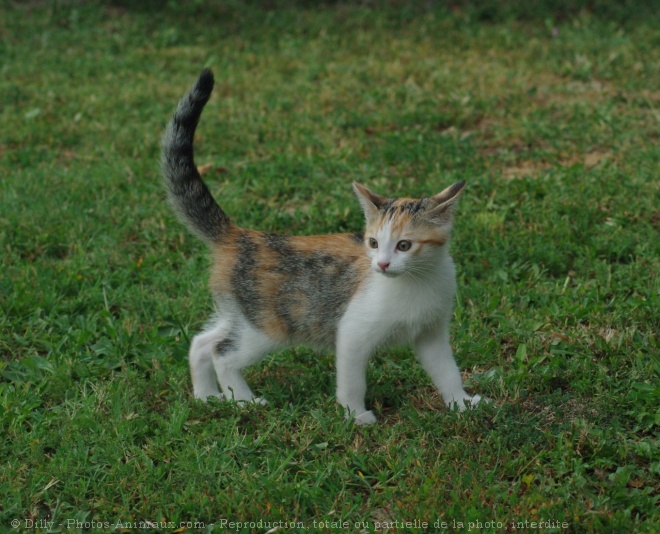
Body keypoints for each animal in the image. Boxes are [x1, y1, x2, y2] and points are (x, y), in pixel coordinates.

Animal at [162, 69, 482, 428]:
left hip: (242, 313)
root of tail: (241, 235)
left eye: (404, 245)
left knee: (202, 342)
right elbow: (352, 380)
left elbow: (446, 370)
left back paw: (207, 397)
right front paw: (356, 416)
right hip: (269, 324)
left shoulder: (431, 333)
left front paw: (461, 403)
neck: (418, 281)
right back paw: (244, 402)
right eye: (373, 242)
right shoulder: (352, 331)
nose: (382, 265)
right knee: (224, 354)